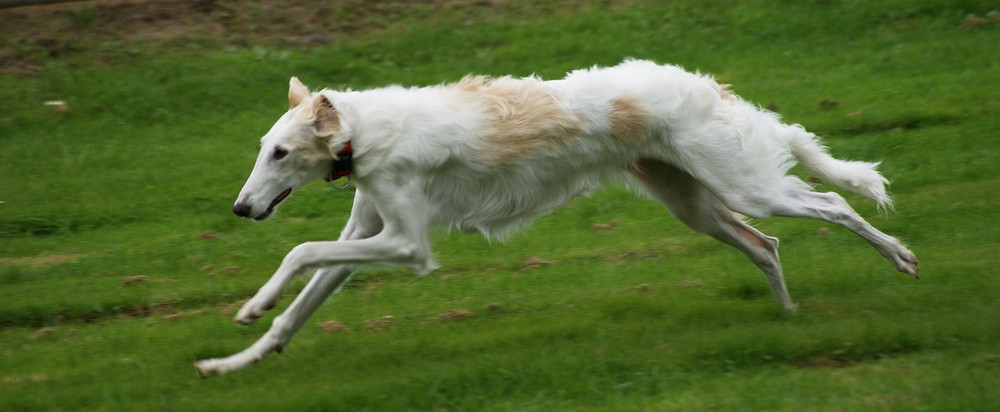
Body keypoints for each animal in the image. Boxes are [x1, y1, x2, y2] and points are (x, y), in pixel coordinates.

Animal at [191, 58, 916, 376]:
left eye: (281, 153)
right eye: (263, 148)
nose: (241, 208)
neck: (361, 132)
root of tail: (707, 84)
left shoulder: (407, 245)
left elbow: (300, 251)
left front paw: (248, 306)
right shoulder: (367, 234)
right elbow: (298, 308)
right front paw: (234, 358)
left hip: (745, 185)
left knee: (831, 203)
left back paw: (901, 257)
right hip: (693, 204)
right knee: (765, 244)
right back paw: (789, 319)